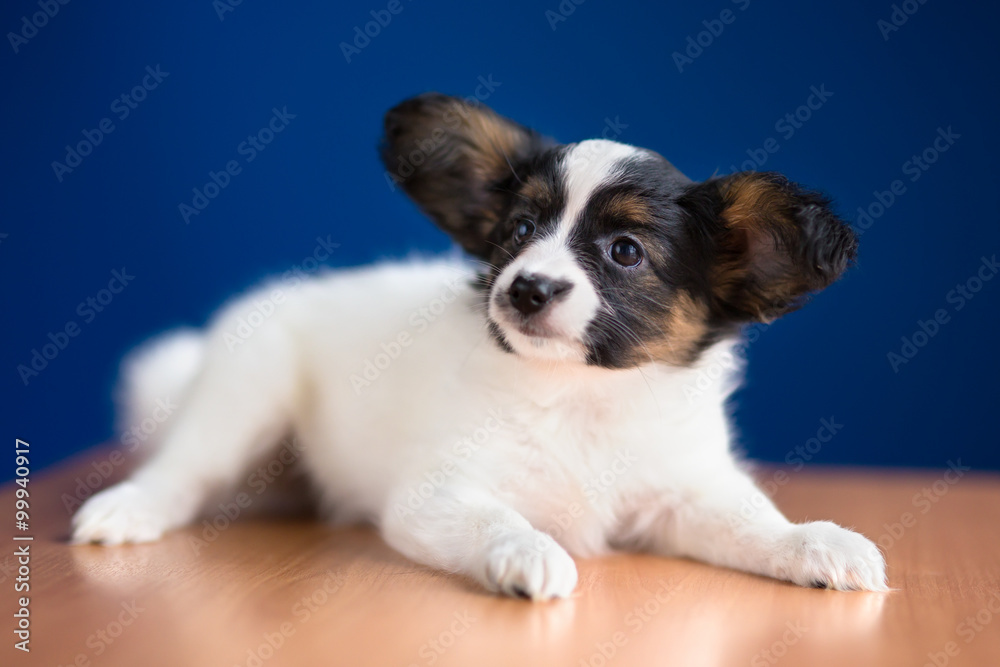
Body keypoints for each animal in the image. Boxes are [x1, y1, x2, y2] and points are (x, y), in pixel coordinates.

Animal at [70, 94, 888, 600]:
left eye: (625, 252)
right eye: (518, 232)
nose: (526, 288)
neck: (583, 399)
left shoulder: (684, 494)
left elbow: (754, 523)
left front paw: (816, 543)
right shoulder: (435, 497)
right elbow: (499, 520)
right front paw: (529, 554)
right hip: (248, 389)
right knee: (185, 468)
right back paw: (128, 509)